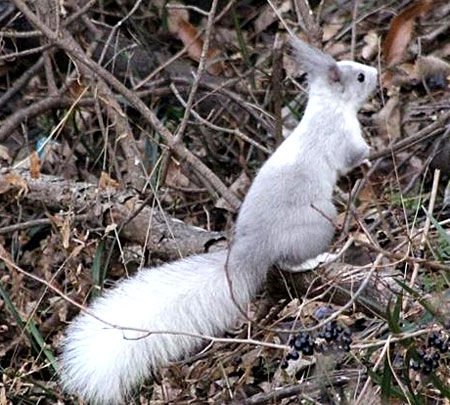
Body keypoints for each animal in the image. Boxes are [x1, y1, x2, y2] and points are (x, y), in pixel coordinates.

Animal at [59, 38, 376, 404]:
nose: (377, 73)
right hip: (319, 223)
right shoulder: (343, 136)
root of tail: (252, 248)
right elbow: (353, 155)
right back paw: (320, 257)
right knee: (290, 260)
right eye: (360, 77)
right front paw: (371, 155)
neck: (328, 105)